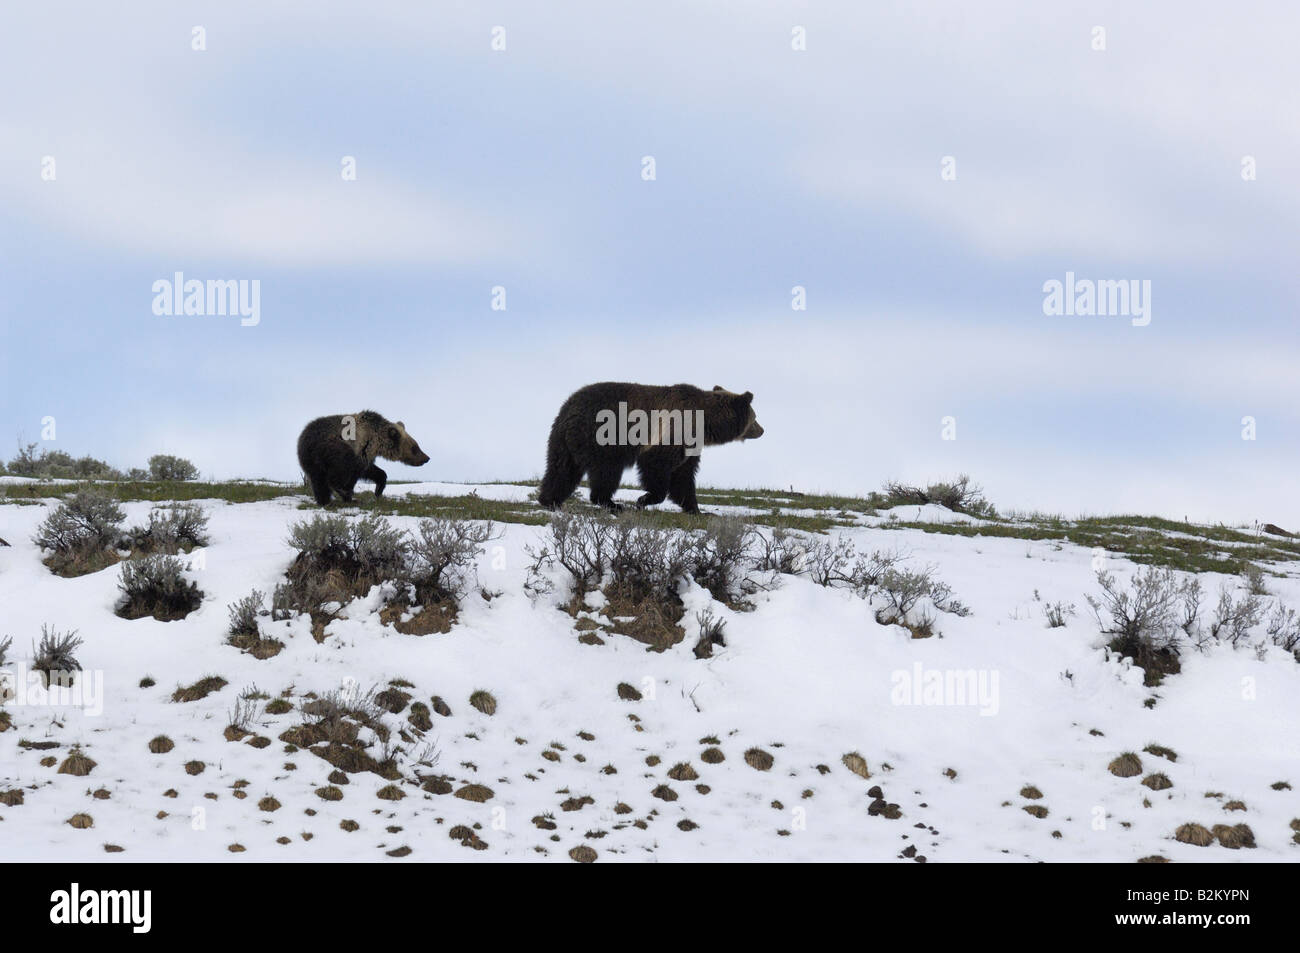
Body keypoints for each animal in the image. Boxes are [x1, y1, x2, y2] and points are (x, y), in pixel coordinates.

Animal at [296, 410, 431, 504]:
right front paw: (350, 494)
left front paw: (378, 490)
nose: (426, 458)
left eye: (417, 445)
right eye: (414, 448)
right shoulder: (361, 451)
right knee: (335, 475)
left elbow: (373, 471)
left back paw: (325, 501)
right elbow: (357, 473)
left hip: (310, 460)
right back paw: (343, 493)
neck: (377, 440)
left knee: (318, 480)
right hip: (335, 449)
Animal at [535, 382, 759, 512]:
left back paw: (550, 500)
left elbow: (684, 476)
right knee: (606, 472)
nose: (762, 430)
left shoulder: (690, 445)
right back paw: (612, 504)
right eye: (755, 417)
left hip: (563, 441)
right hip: (602, 438)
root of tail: (569, 408)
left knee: (561, 469)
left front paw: (695, 508)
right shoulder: (672, 430)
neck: (705, 422)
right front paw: (644, 499)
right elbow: (656, 465)